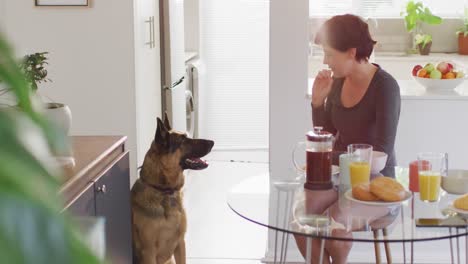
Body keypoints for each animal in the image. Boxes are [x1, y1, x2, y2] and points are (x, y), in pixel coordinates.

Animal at [130, 115, 214, 264]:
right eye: (184, 140)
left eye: (187, 136)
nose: (213, 142)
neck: (164, 191)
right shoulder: (148, 252)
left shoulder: (180, 243)